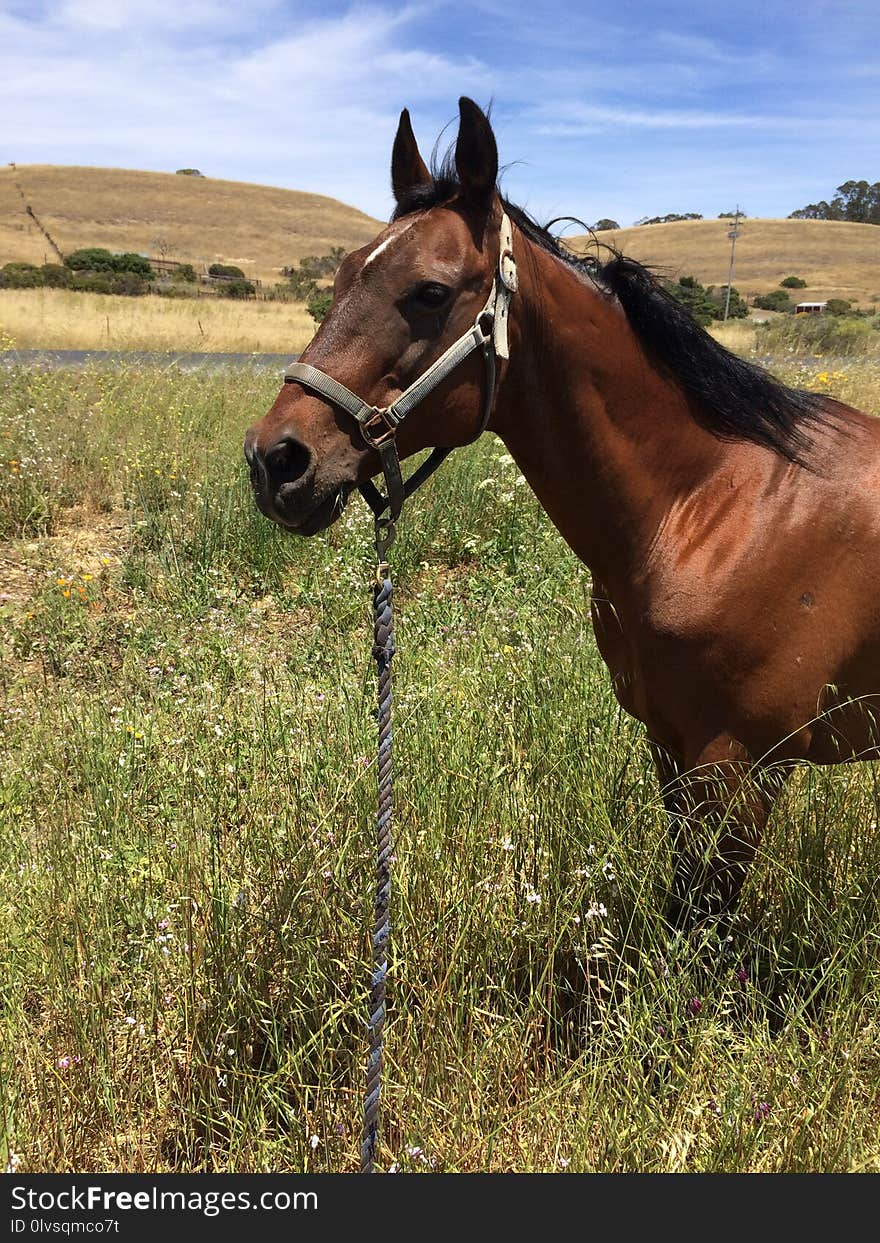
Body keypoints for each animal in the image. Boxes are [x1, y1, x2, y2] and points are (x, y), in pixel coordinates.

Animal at [243, 101, 879, 929]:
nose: (275, 459)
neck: (716, 508)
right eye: (345, 273)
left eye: (429, 292)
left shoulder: (738, 769)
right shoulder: (671, 749)